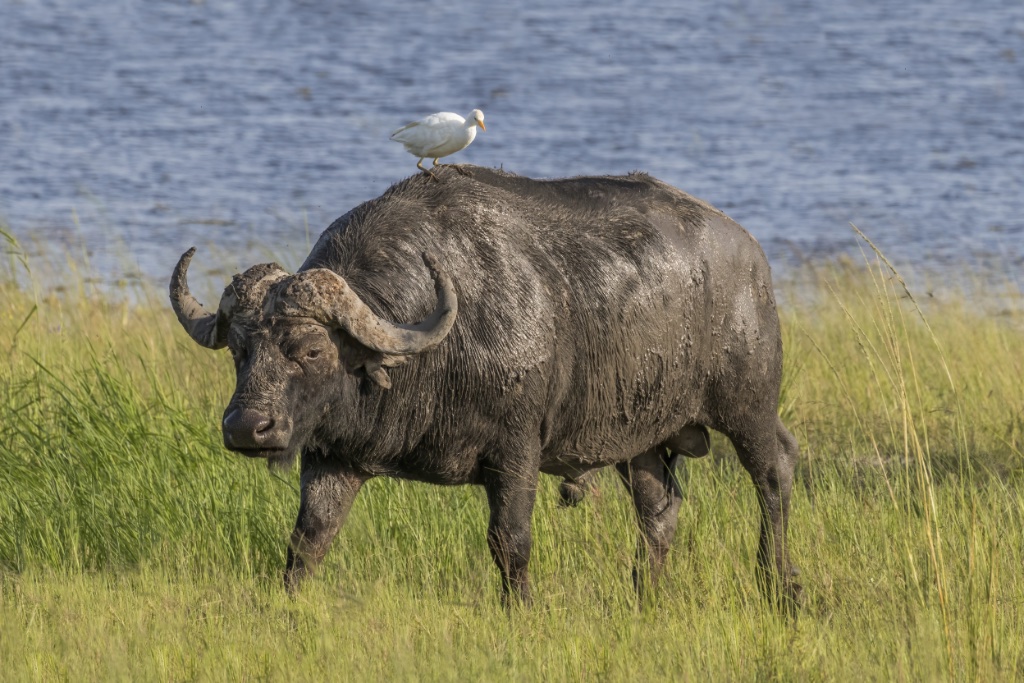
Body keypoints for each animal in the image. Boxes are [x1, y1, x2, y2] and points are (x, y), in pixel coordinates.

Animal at [170, 166, 801, 606]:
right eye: (240, 350)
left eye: (310, 350)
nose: (247, 428)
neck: (434, 355)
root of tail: (750, 254)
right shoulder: (333, 457)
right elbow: (308, 539)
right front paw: (287, 604)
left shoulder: (517, 451)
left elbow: (509, 540)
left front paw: (520, 608)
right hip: (639, 440)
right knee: (659, 512)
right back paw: (644, 595)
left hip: (748, 406)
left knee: (774, 477)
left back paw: (781, 585)